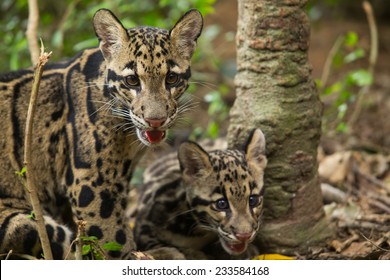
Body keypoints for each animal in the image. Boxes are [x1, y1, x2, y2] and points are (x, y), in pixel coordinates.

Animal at [1, 8, 204, 258]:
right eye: (132, 80)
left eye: (172, 78)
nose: (155, 120)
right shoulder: (92, 183)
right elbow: (111, 238)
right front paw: (135, 255)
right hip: (19, 224)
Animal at [135, 130, 268, 260]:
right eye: (221, 204)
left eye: (253, 200)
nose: (244, 236)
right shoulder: (143, 225)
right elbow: (152, 245)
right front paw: (174, 254)